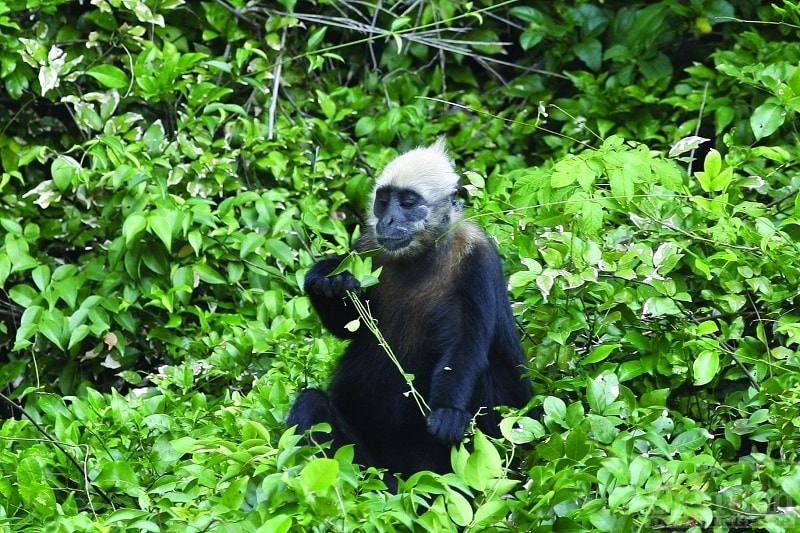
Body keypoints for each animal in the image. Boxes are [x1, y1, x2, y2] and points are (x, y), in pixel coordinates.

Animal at [288, 137, 532, 482]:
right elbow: (349, 326)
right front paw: (328, 279)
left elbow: (466, 342)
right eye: (383, 201)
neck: (422, 254)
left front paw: (448, 411)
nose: (387, 220)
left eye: (407, 202)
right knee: (312, 403)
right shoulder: (366, 249)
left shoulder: (477, 258)